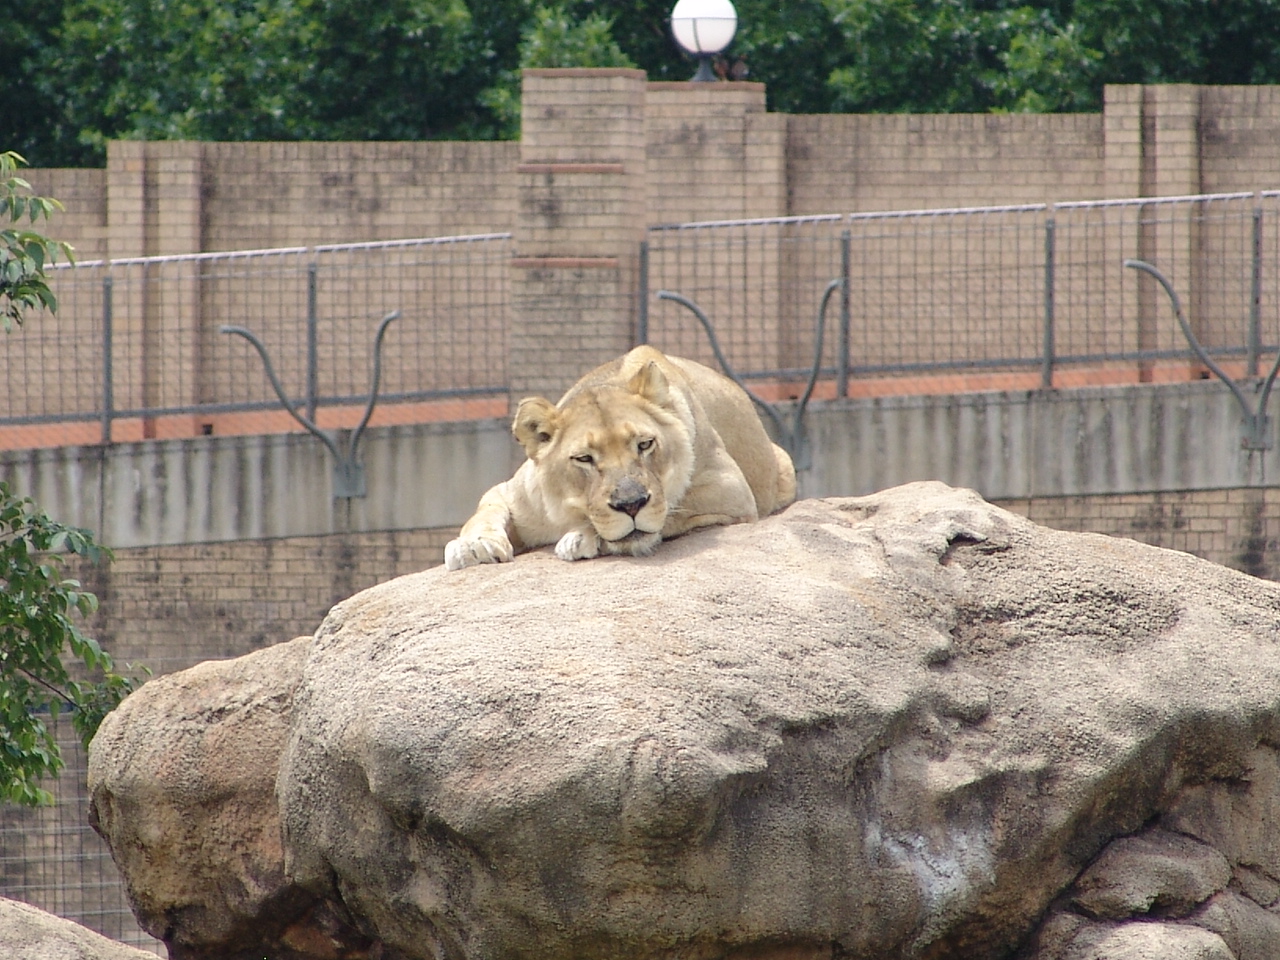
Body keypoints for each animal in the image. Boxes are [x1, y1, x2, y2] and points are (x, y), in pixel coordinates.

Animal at [444, 346, 797, 570]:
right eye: (584, 458)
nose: (631, 505)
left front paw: (582, 538)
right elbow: (484, 511)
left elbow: (670, 509)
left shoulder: (730, 487)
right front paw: (473, 546)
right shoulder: (514, 494)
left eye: (645, 444)